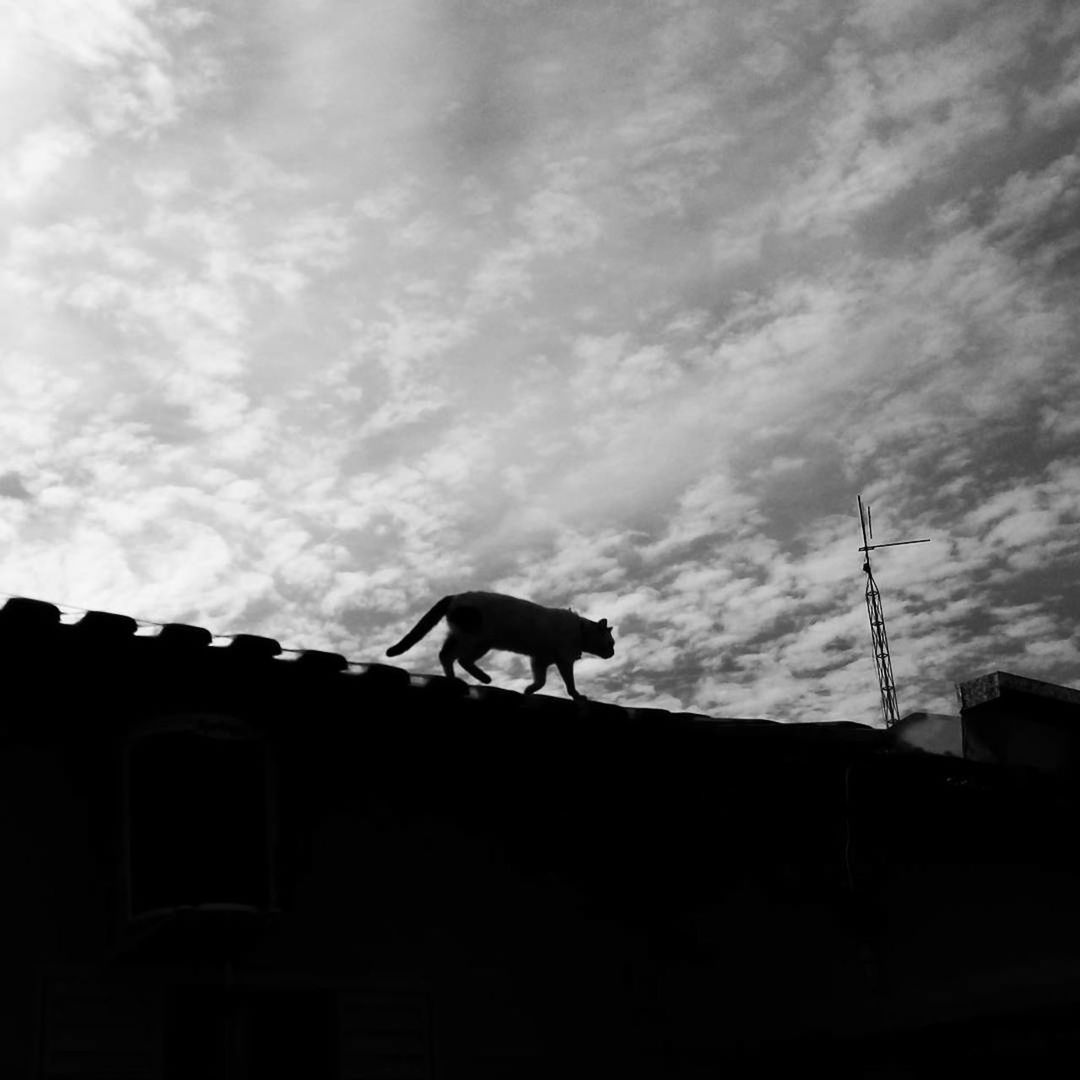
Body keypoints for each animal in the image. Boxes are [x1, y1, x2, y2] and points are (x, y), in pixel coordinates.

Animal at [384, 591, 613, 699]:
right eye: (611, 643)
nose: (612, 653)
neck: (579, 630)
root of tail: (455, 596)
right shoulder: (563, 660)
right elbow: (569, 684)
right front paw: (577, 696)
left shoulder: (539, 660)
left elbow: (540, 682)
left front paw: (528, 690)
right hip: (474, 638)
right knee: (454, 657)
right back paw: (478, 679)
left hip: (477, 642)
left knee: (448, 656)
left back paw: (468, 679)